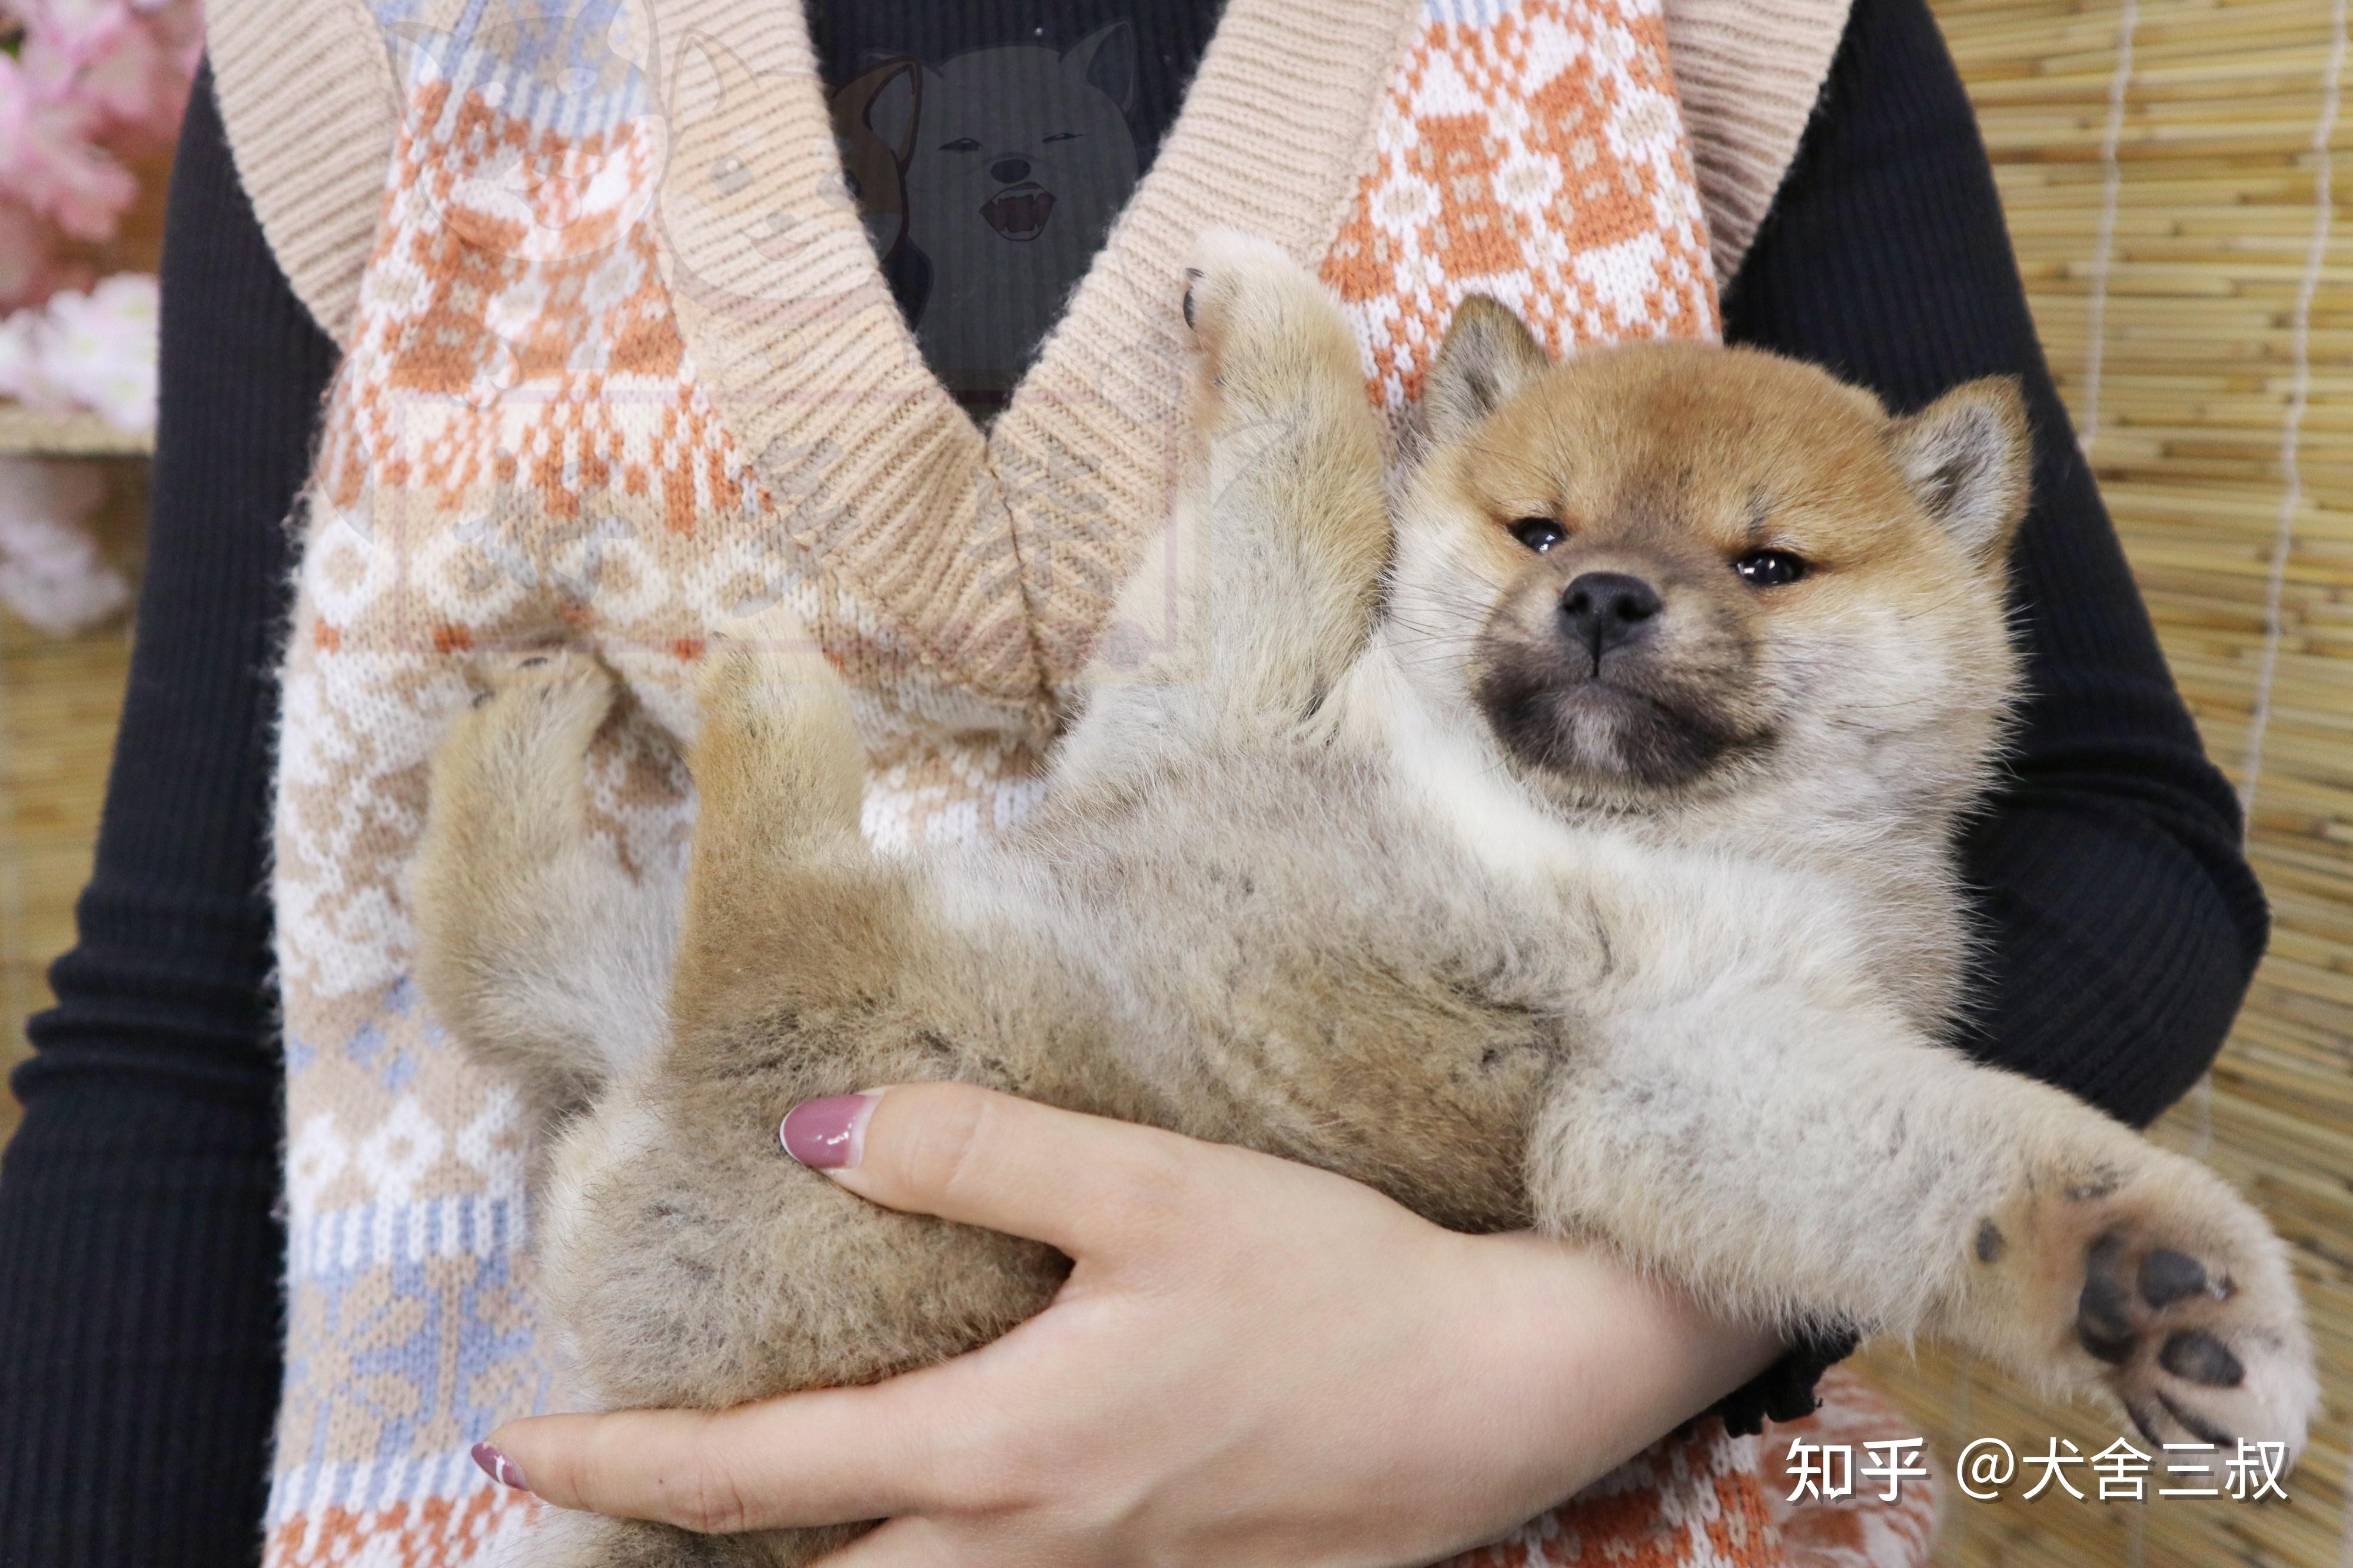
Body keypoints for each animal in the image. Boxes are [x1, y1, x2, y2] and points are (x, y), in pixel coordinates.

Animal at [414, 232, 2306, 1563]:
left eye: (1766, 563)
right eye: (1541, 529)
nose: (1606, 596)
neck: (1568, 816)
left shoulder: (1678, 1056)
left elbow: (1955, 1152)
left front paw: (2143, 1278)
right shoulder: (1228, 697)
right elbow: (1308, 478)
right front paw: (1268, 302)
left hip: (924, 1031)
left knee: (757, 906)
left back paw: (742, 668)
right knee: (516, 959)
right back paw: (547, 709)